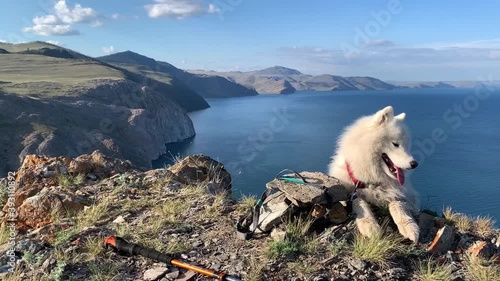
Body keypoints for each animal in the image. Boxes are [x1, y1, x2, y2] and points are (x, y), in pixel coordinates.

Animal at [328, 105, 422, 241]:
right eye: (395, 144)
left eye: (406, 145)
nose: (414, 164)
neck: (373, 178)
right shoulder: (348, 192)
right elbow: (358, 201)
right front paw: (369, 225)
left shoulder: (405, 194)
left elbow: (398, 204)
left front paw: (409, 226)